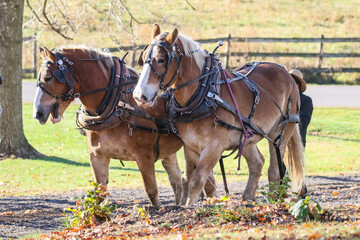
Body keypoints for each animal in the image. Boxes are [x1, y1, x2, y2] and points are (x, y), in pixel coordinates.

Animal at [32, 46, 205, 205]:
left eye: (48, 77)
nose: (37, 113)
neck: (118, 103)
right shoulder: (97, 156)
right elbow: (100, 192)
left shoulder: (144, 156)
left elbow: (151, 191)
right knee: (177, 181)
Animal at [134, 23, 306, 204]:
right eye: (143, 57)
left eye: (161, 59)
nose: (139, 95)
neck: (204, 94)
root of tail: (288, 74)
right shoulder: (190, 146)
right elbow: (192, 180)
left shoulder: (214, 147)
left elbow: (197, 182)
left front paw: (189, 207)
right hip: (245, 136)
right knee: (257, 163)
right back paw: (247, 199)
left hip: (280, 133)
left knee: (274, 171)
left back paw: (273, 201)